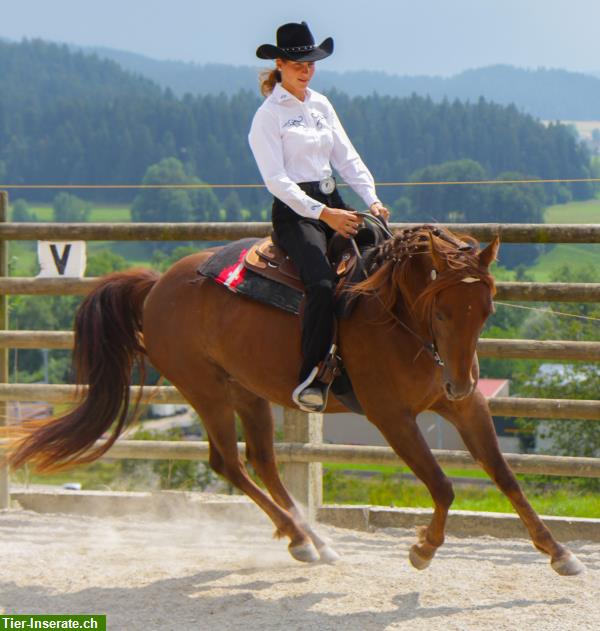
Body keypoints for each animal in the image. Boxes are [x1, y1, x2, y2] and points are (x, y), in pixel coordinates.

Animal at [8, 225, 580, 576]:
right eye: (441, 310)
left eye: (486, 310)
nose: (460, 380)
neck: (393, 311)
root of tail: (155, 287)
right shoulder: (391, 417)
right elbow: (442, 485)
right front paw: (422, 549)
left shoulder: (465, 409)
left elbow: (505, 476)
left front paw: (559, 553)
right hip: (206, 391)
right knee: (230, 463)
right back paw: (302, 539)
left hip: (249, 393)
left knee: (262, 461)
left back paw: (311, 538)